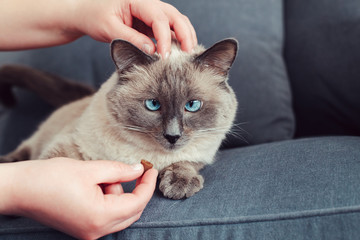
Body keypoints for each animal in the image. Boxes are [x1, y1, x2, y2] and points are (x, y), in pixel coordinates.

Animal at [0, 38, 239, 200]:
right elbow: (52, 165)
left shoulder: (200, 154)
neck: (150, 156)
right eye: (153, 105)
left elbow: (185, 162)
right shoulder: (70, 146)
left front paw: (180, 185)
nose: (173, 136)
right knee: (25, 153)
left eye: (192, 106)